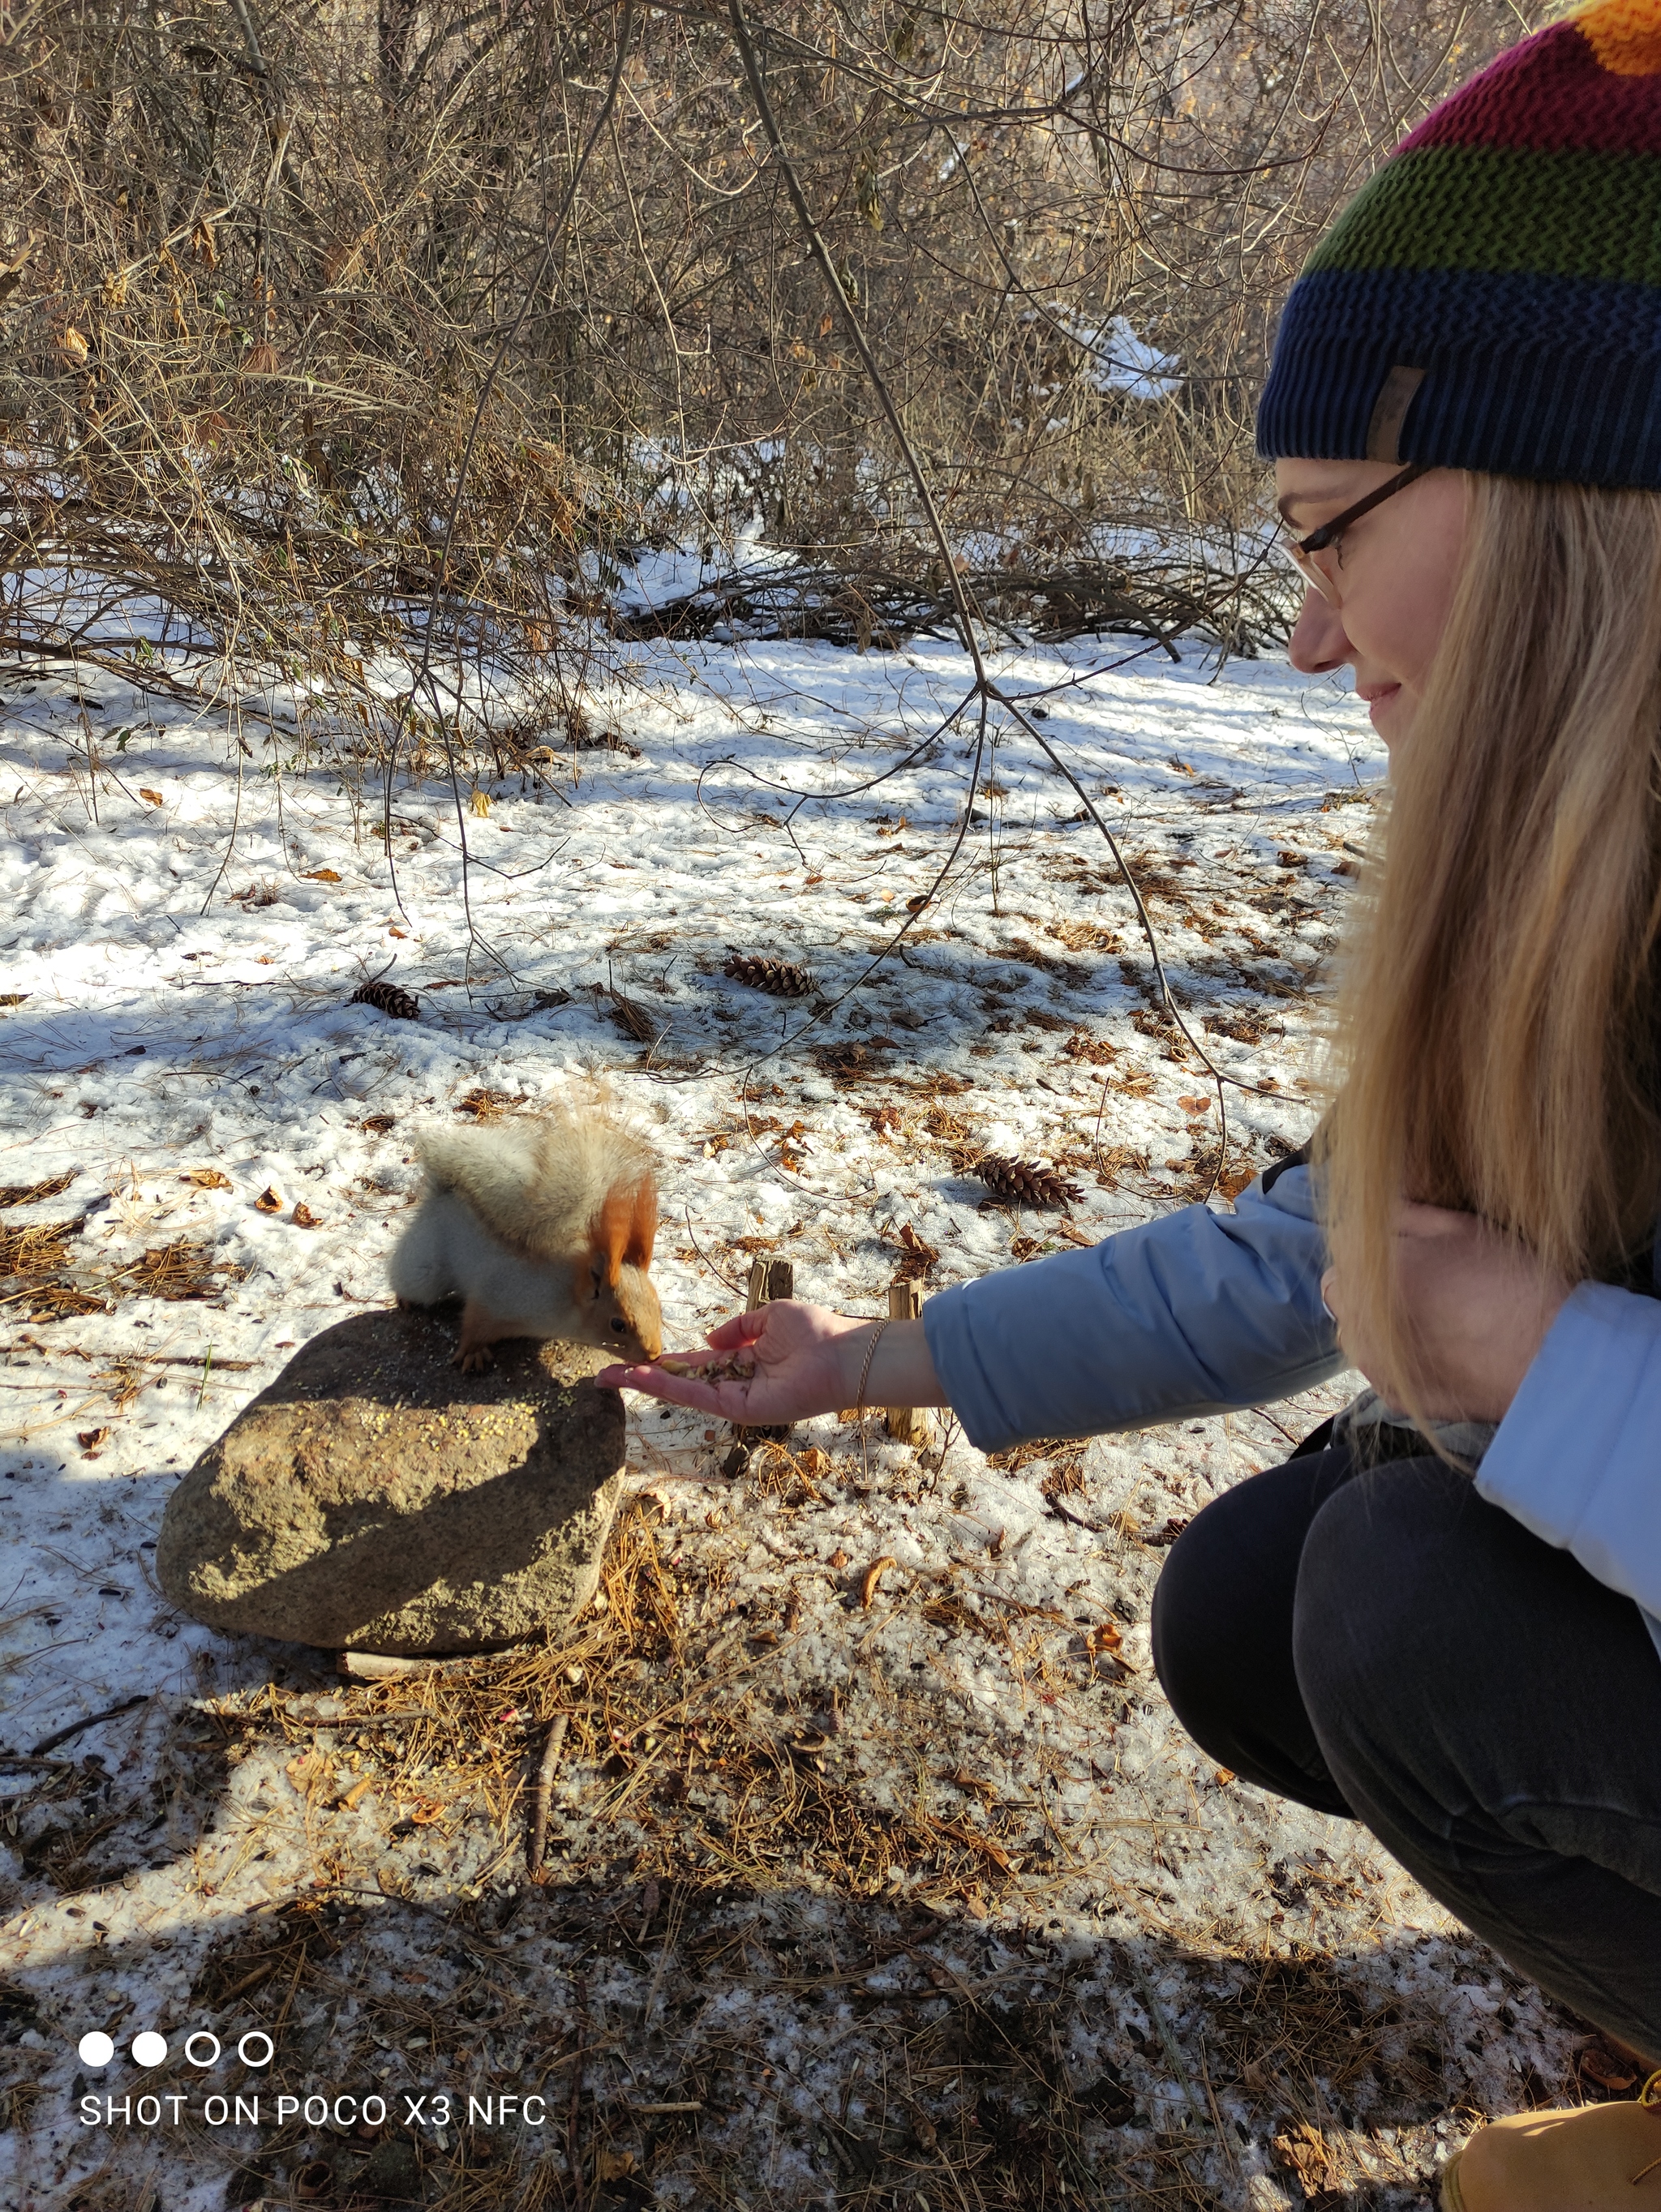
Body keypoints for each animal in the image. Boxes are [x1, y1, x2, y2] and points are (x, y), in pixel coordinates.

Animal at [388, 1101, 663, 1362]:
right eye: (617, 1324)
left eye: (658, 1307)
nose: (654, 1354)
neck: (567, 1294)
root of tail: (442, 1196)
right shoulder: (496, 1297)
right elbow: (474, 1324)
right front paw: (472, 1352)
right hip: (425, 1267)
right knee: (410, 1280)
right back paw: (405, 1299)